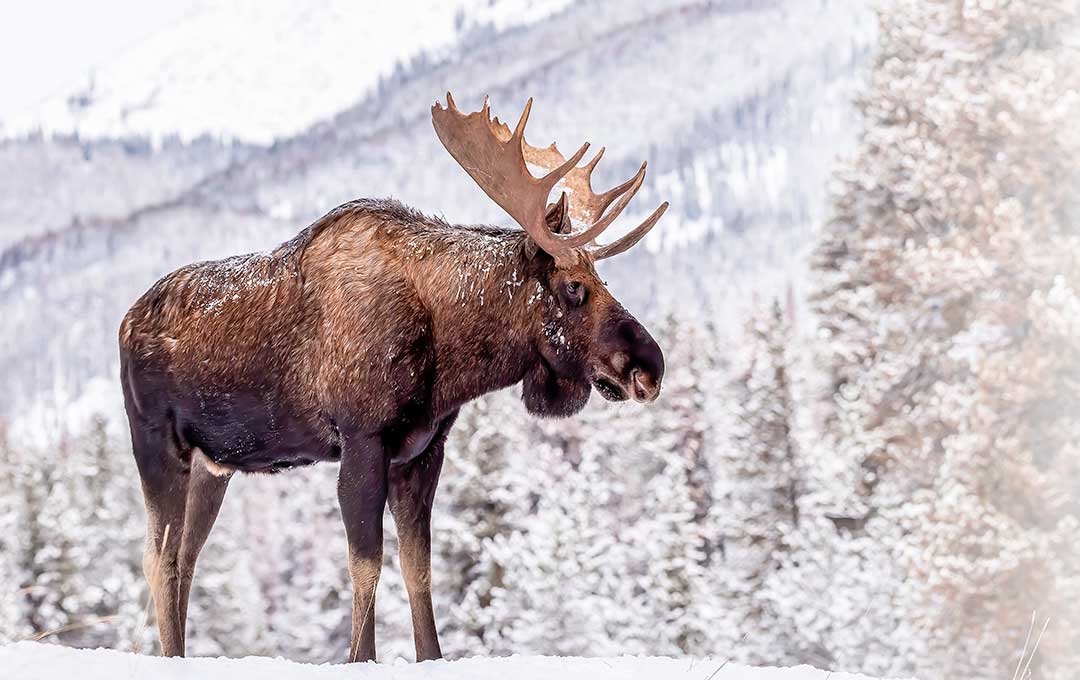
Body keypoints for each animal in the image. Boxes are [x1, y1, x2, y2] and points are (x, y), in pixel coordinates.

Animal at [122, 93, 669, 664]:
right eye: (573, 287)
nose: (650, 367)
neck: (448, 352)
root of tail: (125, 322)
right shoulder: (363, 438)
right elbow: (367, 566)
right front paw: (360, 657)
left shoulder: (423, 451)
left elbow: (418, 568)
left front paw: (430, 655)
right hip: (157, 444)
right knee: (158, 558)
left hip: (215, 465)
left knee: (186, 557)